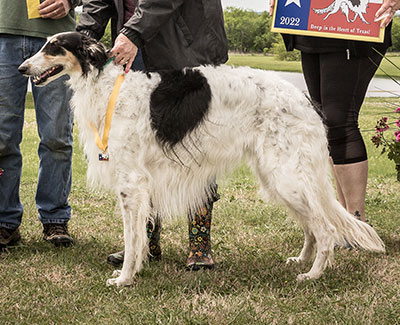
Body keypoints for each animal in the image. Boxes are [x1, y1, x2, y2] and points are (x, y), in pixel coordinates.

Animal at [18, 32, 384, 286]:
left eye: (53, 47)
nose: (22, 68)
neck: (109, 89)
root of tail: (304, 98)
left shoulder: (132, 183)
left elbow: (133, 238)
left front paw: (124, 278)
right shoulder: (141, 184)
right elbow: (141, 235)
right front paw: (135, 269)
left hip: (288, 176)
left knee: (325, 229)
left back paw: (313, 275)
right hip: (279, 178)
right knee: (311, 226)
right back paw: (301, 261)